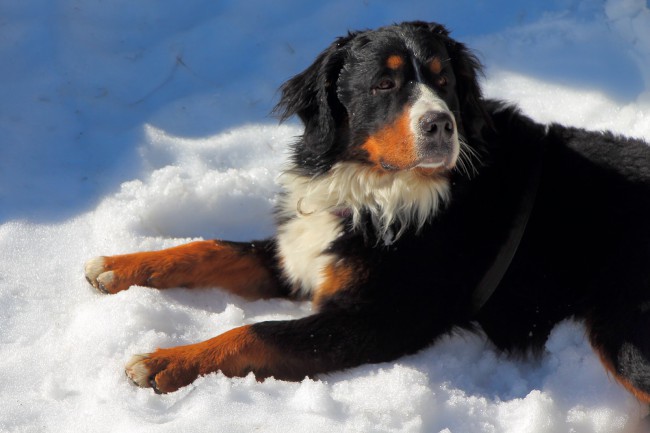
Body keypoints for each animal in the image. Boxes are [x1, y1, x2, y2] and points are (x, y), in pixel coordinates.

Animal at [86, 21, 648, 398]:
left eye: (444, 82)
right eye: (385, 83)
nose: (441, 125)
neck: (374, 188)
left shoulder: (378, 315)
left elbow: (254, 333)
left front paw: (165, 361)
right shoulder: (304, 256)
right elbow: (210, 248)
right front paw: (118, 266)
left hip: (624, 332)